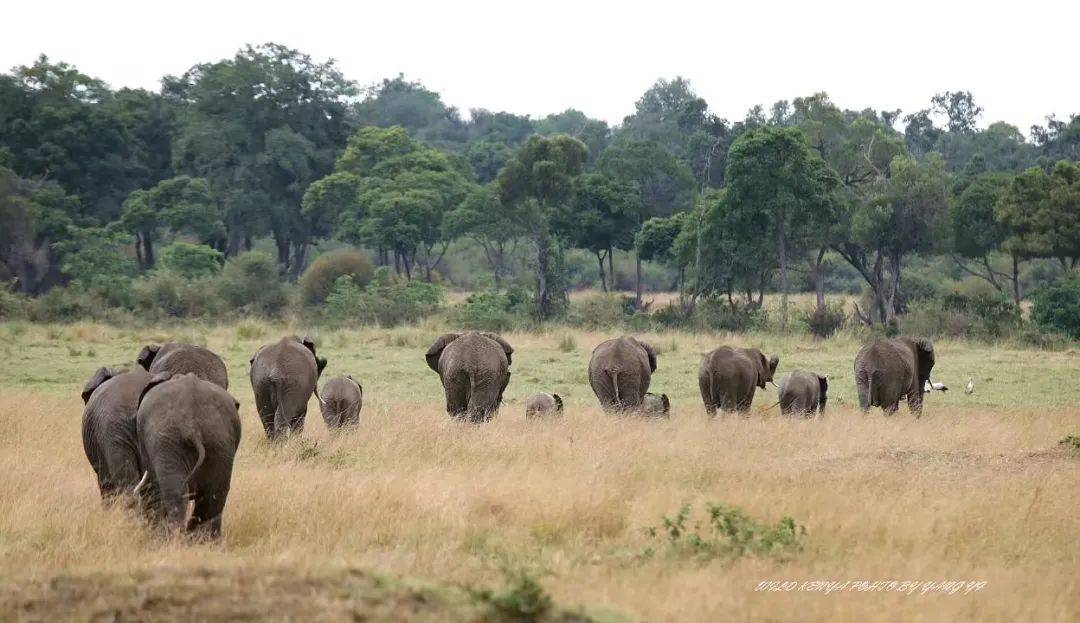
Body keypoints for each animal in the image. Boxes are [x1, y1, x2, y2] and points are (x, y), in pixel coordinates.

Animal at [136, 369, 241, 539]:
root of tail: (191, 424)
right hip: (218, 440)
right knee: (214, 495)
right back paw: (203, 541)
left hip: (167, 440)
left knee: (174, 492)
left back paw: (174, 538)